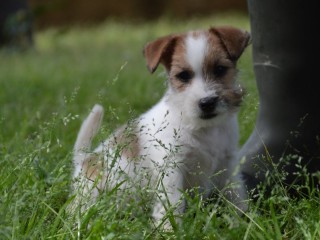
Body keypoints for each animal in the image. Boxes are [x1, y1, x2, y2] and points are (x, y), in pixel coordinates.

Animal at [72, 25, 250, 228]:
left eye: (220, 69)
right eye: (183, 76)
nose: (207, 102)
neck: (203, 129)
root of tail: (84, 159)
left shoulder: (228, 165)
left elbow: (235, 195)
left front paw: (244, 222)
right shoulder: (171, 169)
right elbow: (173, 204)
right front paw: (170, 230)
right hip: (90, 196)